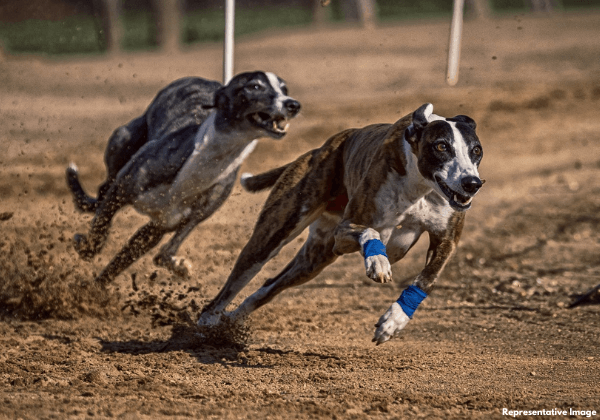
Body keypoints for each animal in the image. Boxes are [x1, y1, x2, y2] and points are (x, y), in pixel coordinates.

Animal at [67, 72, 300, 286]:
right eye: (254, 86)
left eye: (284, 89)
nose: (293, 105)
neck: (205, 161)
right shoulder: (121, 191)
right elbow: (100, 229)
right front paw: (86, 248)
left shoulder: (160, 227)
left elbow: (130, 260)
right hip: (122, 141)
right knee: (102, 192)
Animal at [197, 102, 482, 344]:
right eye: (441, 147)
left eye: (476, 150)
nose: (472, 183)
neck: (421, 185)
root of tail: (318, 150)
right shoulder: (344, 233)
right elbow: (370, 232)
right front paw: (377, 262)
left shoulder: (446, 239)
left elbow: (426, 279)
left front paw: (394, 320)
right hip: (275, 234)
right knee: (237, 280)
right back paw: (207, 322)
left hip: (314, 260)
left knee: (269, 286)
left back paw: (231, 322)